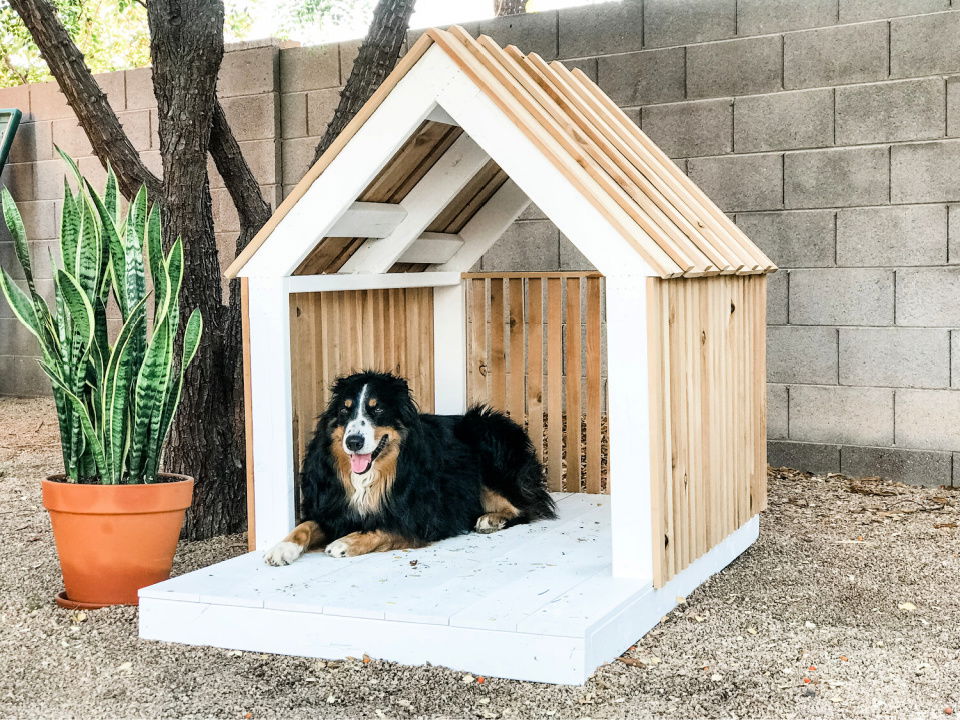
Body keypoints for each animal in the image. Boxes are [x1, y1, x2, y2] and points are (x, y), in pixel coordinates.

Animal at [262, 372, 556, 568]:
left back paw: (491, 519)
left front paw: (345, 543)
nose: (353, 441)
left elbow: (384, 527)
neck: (371, 477)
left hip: (486, 438)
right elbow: (307, 525)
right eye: (344, 412)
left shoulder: (423, 517)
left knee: (528, 507)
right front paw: (283, 547)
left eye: (377, 409)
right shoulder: (333, 509)